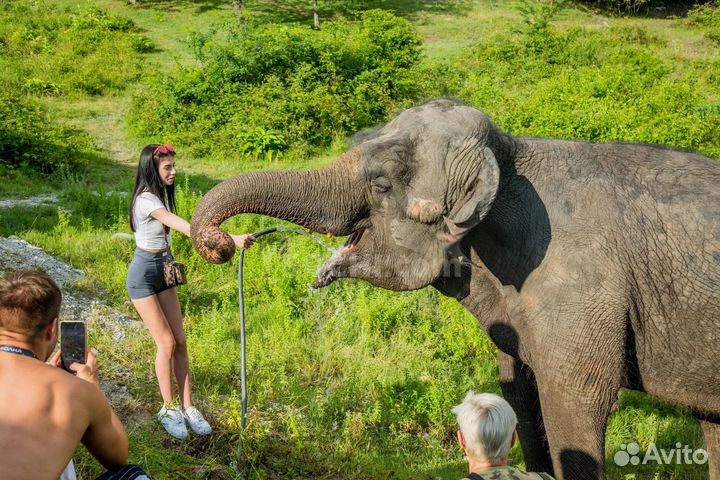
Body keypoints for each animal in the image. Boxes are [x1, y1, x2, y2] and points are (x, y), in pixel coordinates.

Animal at [190, 99, 720, 478]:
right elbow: (517, 387)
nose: (223, 243)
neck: (510, 157)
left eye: (381, 183)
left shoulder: (581, 290)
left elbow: (575, 402)